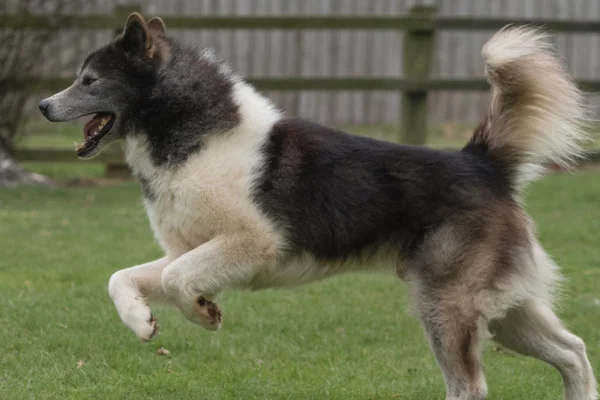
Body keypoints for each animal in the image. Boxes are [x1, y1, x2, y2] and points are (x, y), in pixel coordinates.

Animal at [39, 12, 596, 400]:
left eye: (89, 80)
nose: (43, 105)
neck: (191, 134)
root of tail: (480, 162)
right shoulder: (189, 248)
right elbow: (122, 278)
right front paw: (143, 322)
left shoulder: (251, 244)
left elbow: (179, 282)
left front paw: (204, 313)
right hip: (505, 311)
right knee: (575, 352)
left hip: (447, 306)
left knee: (472, 386)